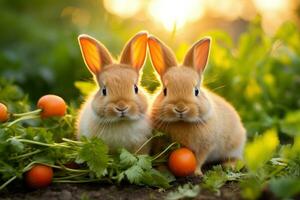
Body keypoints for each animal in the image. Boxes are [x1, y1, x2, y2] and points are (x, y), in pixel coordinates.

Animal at [148, 35, 246, 175]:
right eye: (165, 91)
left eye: (196, 91)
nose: (180, 108)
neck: (182, 123)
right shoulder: (160, 145)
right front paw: (162, 170)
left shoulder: (204, 147)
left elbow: (199, 159)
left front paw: (196, 173)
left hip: (234, 146)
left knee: (234, 158)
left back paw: (228, 166)